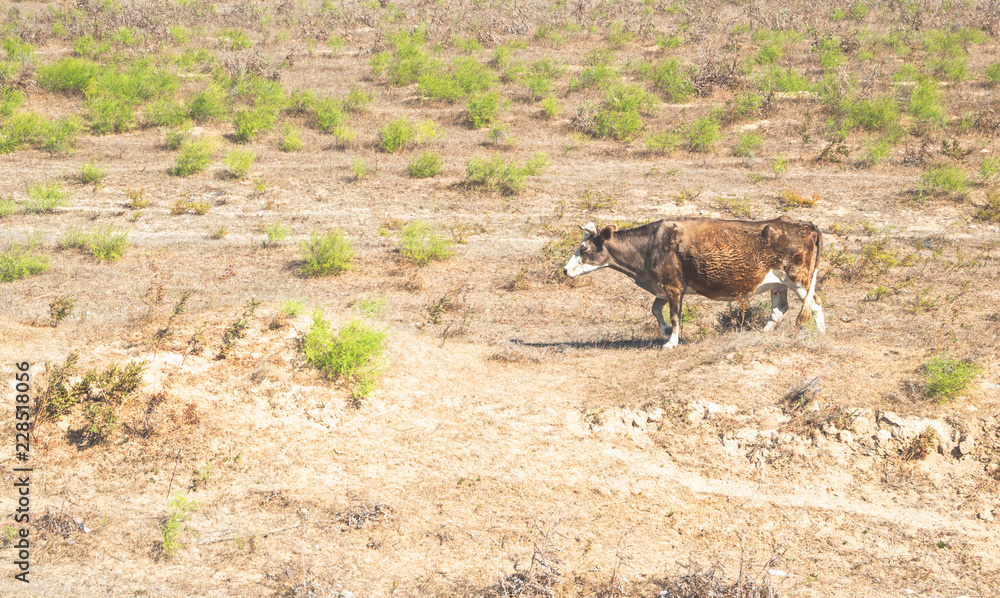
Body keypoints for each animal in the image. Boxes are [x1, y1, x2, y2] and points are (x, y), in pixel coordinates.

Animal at [562, 216, 825, 348]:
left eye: (583, 249)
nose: (565, 270)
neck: (649, 246)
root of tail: (805, 224)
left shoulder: (673, 286)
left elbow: (675, 315)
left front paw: (672, 341)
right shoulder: (662, 287)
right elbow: (655, 309)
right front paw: (665, 330)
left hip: (798, 278)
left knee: (815, 304)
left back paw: (820, 334)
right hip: (778, 283)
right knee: (779, 309)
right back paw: (761, 334)